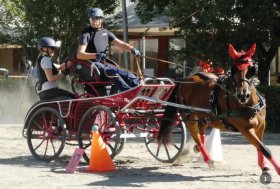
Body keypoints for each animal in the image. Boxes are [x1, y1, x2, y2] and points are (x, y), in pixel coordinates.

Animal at [158, 43, 280, 182]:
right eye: (233, 69)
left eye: (251, 69)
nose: (242, 95)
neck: (248, 104)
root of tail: (185, 79)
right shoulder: (245, 130)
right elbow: (264, 148)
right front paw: (271, 170)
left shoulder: (261, 127)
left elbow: (260, 147)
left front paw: (263, 167)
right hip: (189, 117)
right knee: (197, 137)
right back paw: (208, 160)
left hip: (205, 116)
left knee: (201, 132)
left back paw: (199, 150)